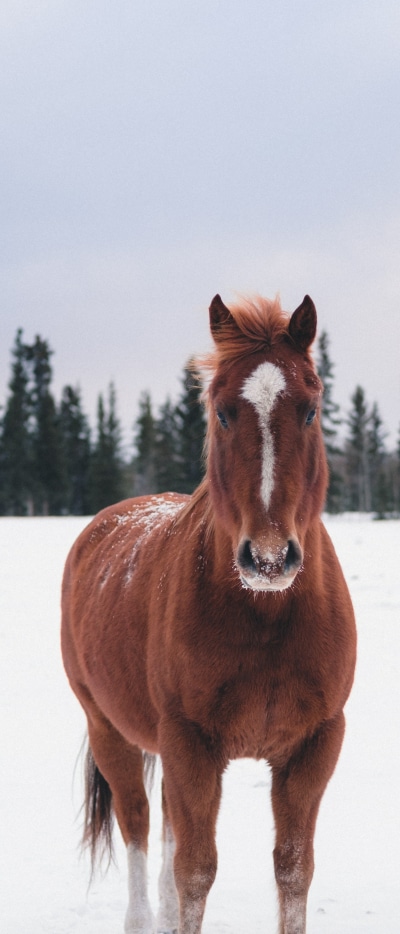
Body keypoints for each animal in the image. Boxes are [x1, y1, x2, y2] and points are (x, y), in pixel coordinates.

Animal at [61, 292, 356, 934]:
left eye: (311, 409)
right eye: (222, 412)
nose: (268, 557)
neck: (266, 616)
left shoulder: (313, 746)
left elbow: (292, 871)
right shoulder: (190, 743)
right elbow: (195, 873)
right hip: (109, 730)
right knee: (141, 828)